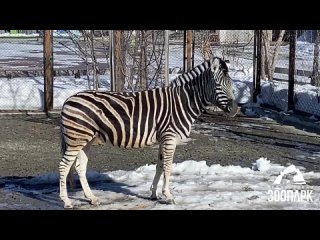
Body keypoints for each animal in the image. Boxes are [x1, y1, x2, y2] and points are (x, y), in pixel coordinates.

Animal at [59, 56, 238, 208]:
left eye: (232, 87)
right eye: (219, 86)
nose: (235, 109)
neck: (183, 102)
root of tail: (68, 99)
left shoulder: (163, 139)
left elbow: (159, 165)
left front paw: (154, 194)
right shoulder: (170, 137)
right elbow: (168, 167)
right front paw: (168, 196)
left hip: (86, 140)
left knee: (80, 167)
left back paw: (92, 198)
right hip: (77, 139)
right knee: (64, 166)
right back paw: (67, 201)